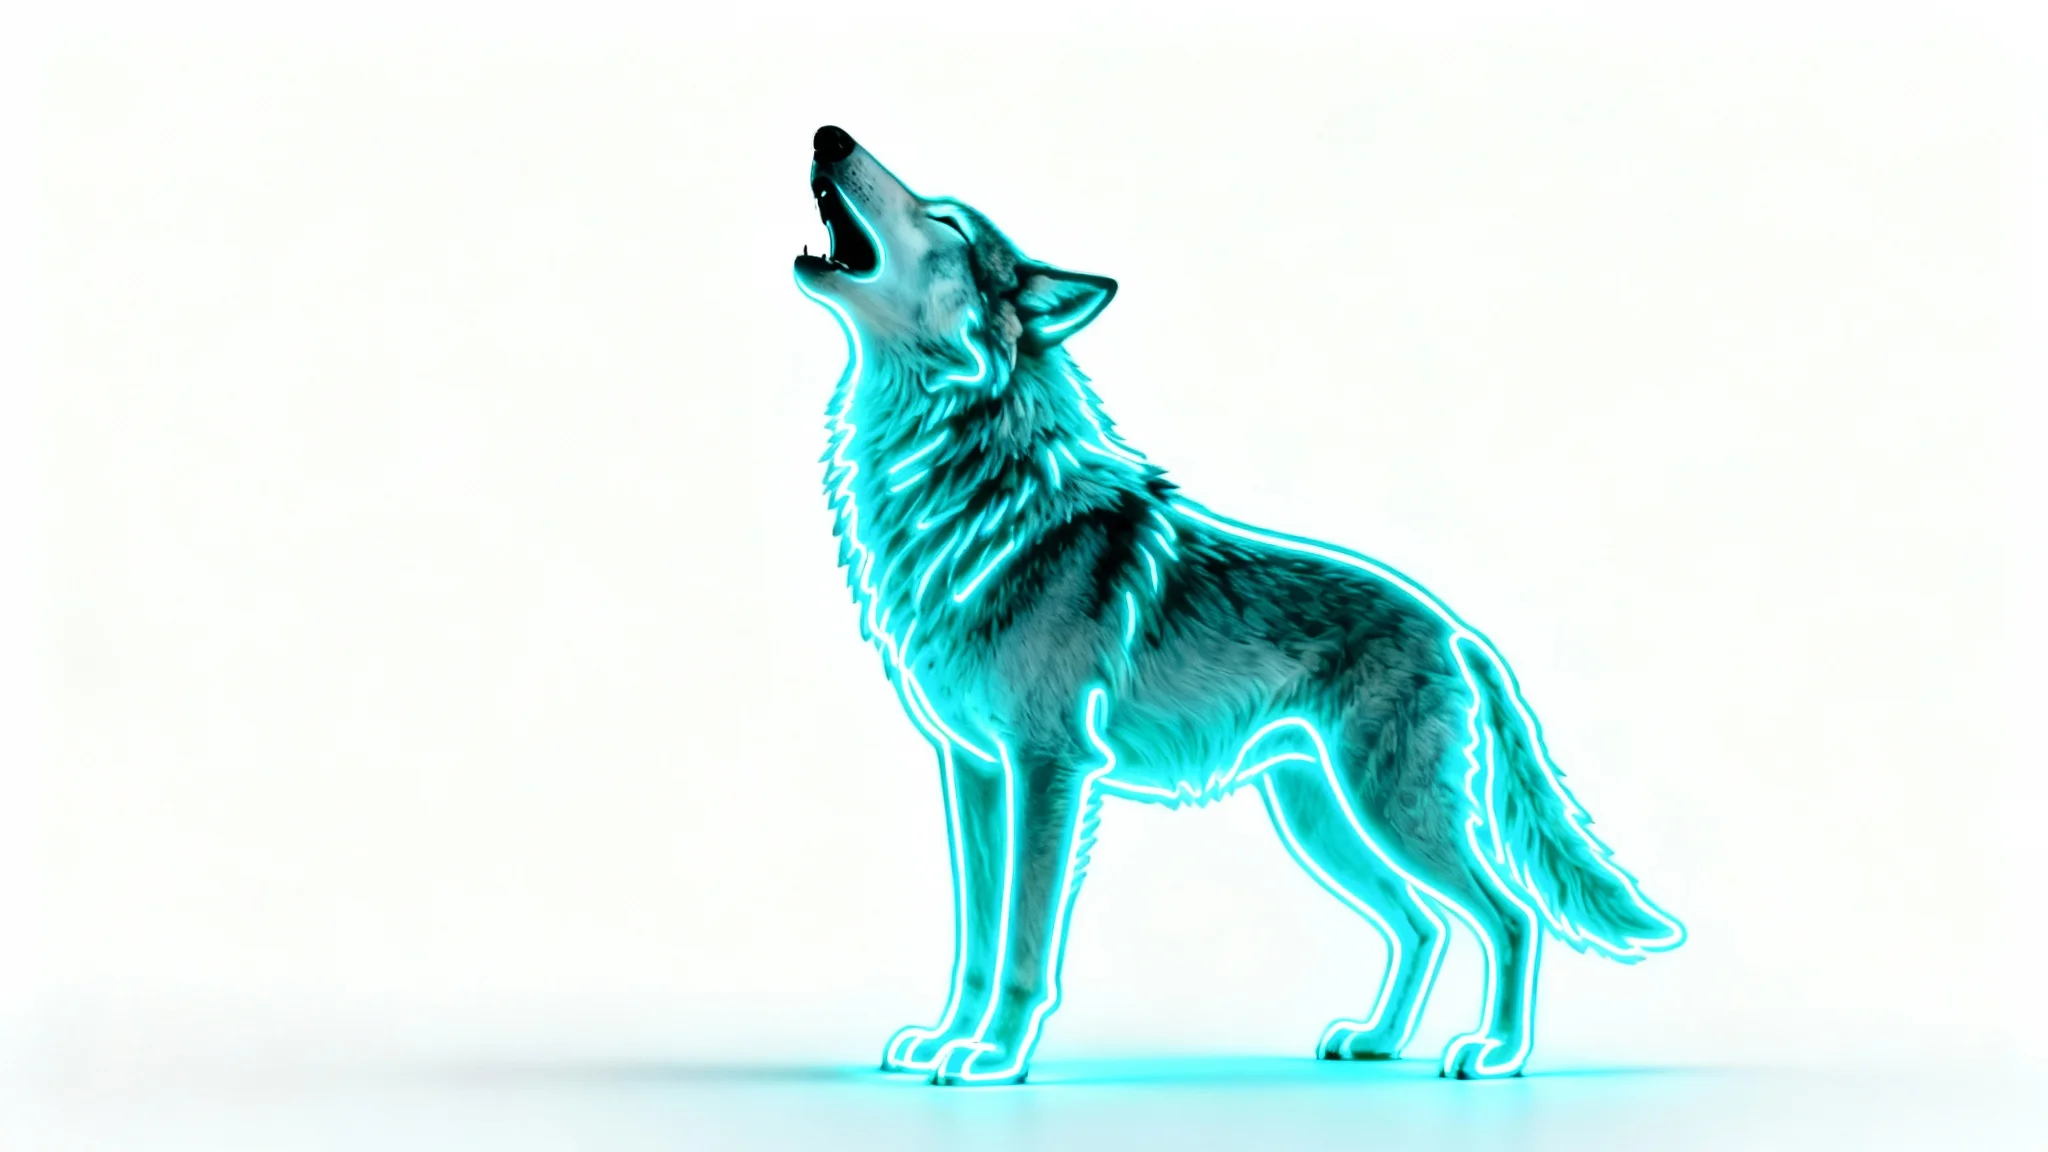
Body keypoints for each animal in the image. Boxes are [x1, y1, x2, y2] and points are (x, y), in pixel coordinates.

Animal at [793, 125, 1684, 1086]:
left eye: (946, 219)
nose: (830, 135)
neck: (969, 489)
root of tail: (1457, 630)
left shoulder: (1047, 767)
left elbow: (1024, 942)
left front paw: (994, 1056)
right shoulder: (974, 770)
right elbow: (975, 936)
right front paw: (947, 1041)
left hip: (1385, 811)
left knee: (1508, 914)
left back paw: (1497, 1055)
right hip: (1321, 819)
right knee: (1424, 922)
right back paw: (1375, 1041)